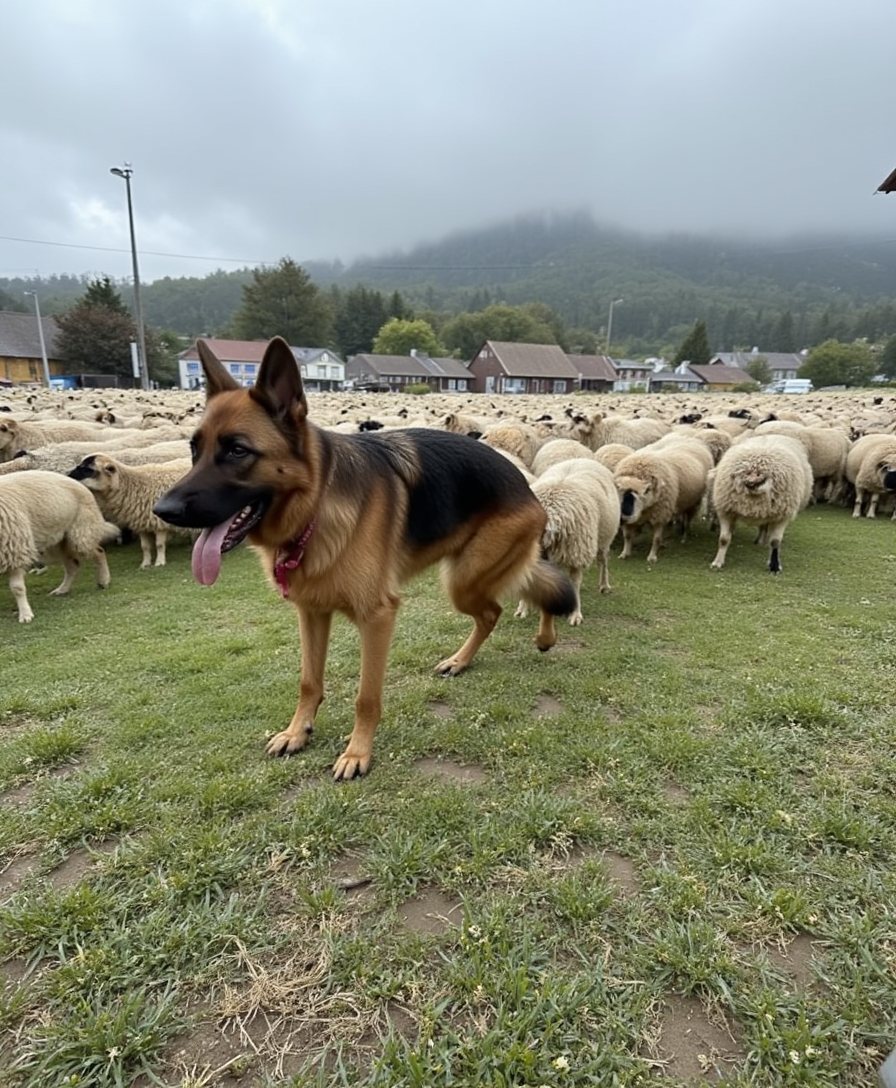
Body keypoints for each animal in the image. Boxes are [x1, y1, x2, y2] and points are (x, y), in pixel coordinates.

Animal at [0, 472, 119, 623]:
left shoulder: (14, 551)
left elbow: (17, 588)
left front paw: (25, 615)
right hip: (58, 542)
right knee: (73, 566)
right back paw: (62, 590)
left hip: (80, 532)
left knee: (99, 552)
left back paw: (104, 581)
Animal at [515, 459, 621, 625]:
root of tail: (582, 459)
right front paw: (523, 608)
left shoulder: (577, 553)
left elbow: (575, 582)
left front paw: (575, 614)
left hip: (604, 537)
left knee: (603, 562)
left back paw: (604, 585)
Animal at [708, 435, 813, 573]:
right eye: (747, 473)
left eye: (759, 474)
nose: (751, 482)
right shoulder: (727, 511)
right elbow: (724, 539)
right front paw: (717, 562)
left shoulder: (782, 516)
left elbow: (775, 542)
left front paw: (774, 566)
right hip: (765, 511)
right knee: (763, 525)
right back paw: (760, 539)